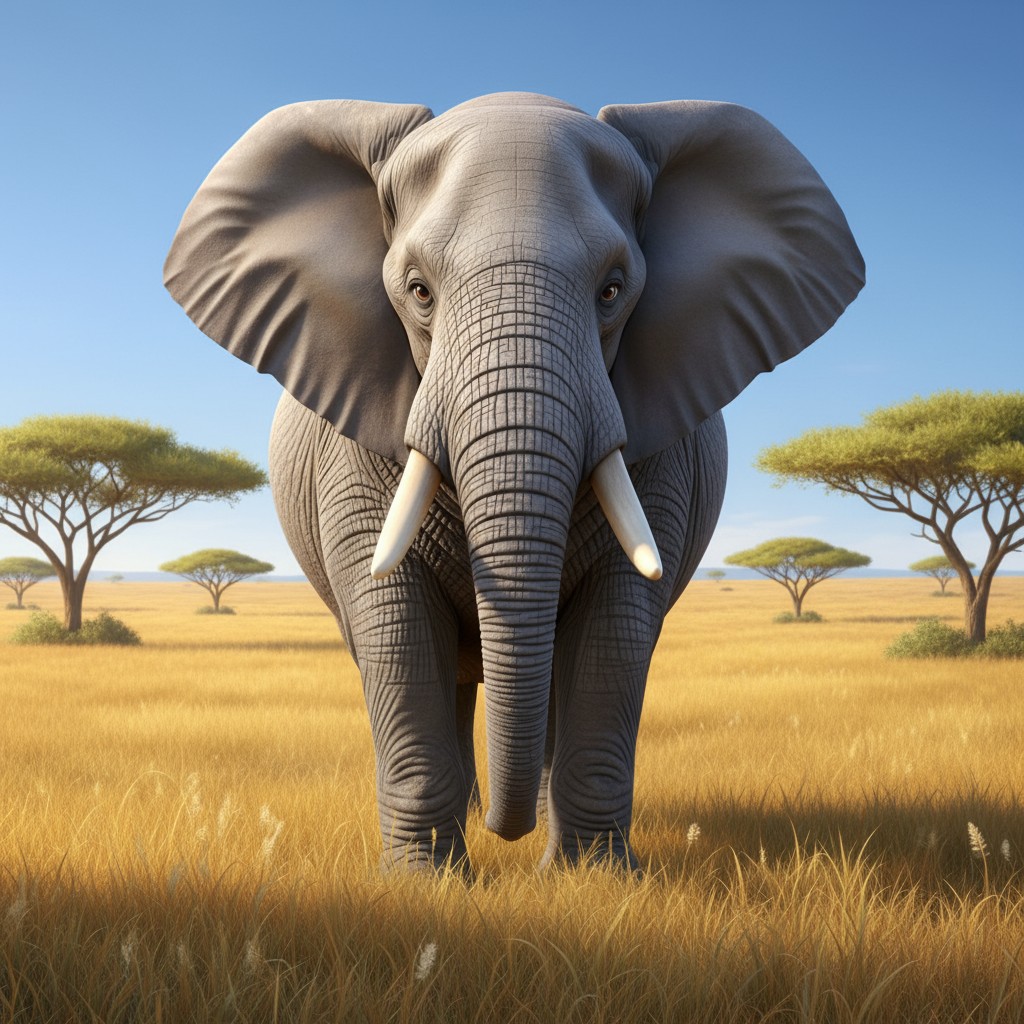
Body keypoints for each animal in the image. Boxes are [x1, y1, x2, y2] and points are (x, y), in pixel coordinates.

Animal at [165, 92, 863, 873]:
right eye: (418, 291)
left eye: (612, 290)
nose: (512, 831)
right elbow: (394, 627)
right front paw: (427, 883)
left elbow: (615, 633)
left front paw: (594, 880)